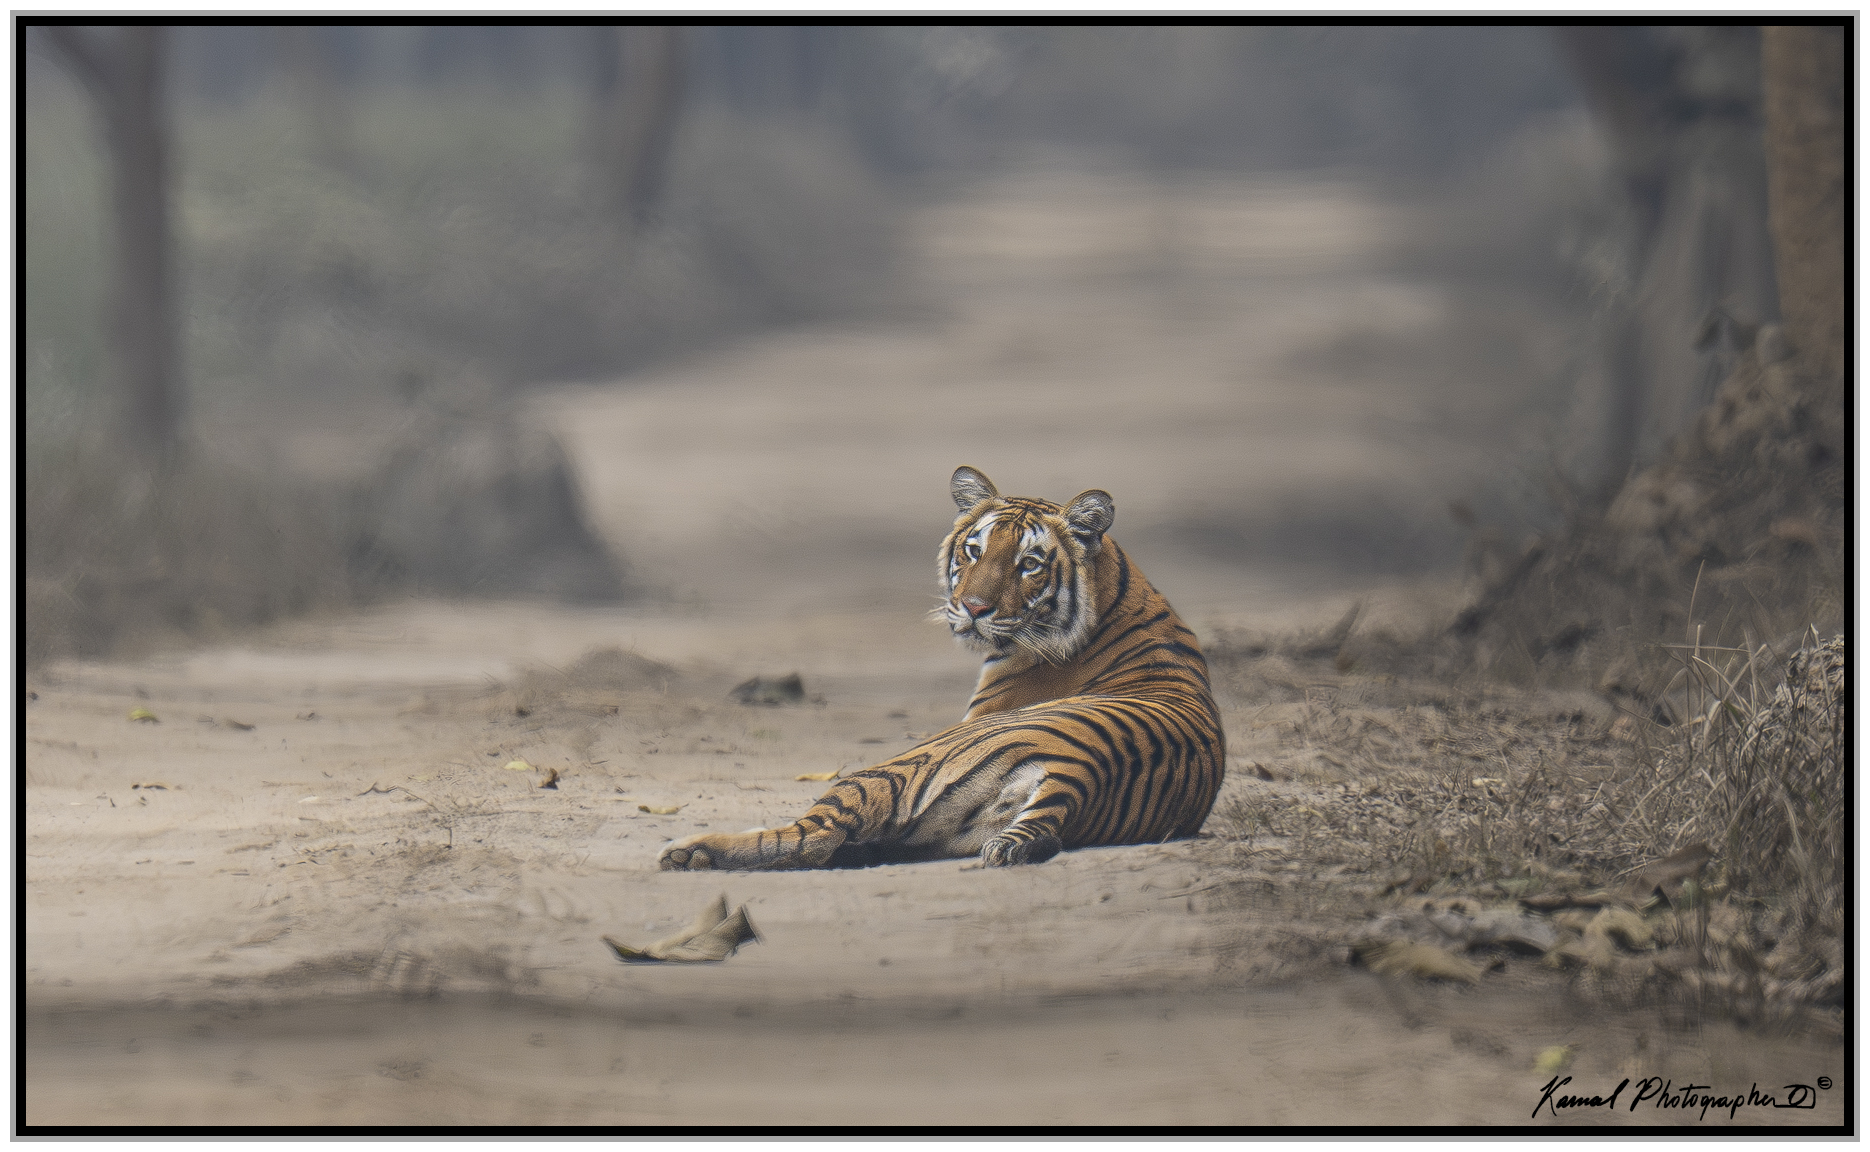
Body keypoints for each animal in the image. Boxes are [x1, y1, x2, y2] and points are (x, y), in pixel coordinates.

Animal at [658, 466, 1226, 871]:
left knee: (812, 837)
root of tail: (1078, 774)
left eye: (1029, 564)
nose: (973, 608)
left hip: (888, 769)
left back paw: (689, 851)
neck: (1115, 594)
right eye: (973, 551)